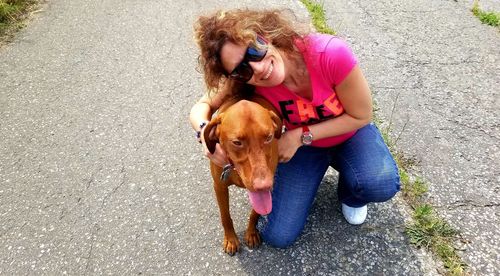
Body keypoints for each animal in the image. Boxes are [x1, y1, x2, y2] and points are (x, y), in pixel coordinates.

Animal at [203, 96, 282, 256]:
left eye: (269, 137)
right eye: (237, 142)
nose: (264, 185)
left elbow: (255, 212)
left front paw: (251, 232)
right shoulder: (219, 186)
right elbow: (225, 216)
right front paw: (230, 239)